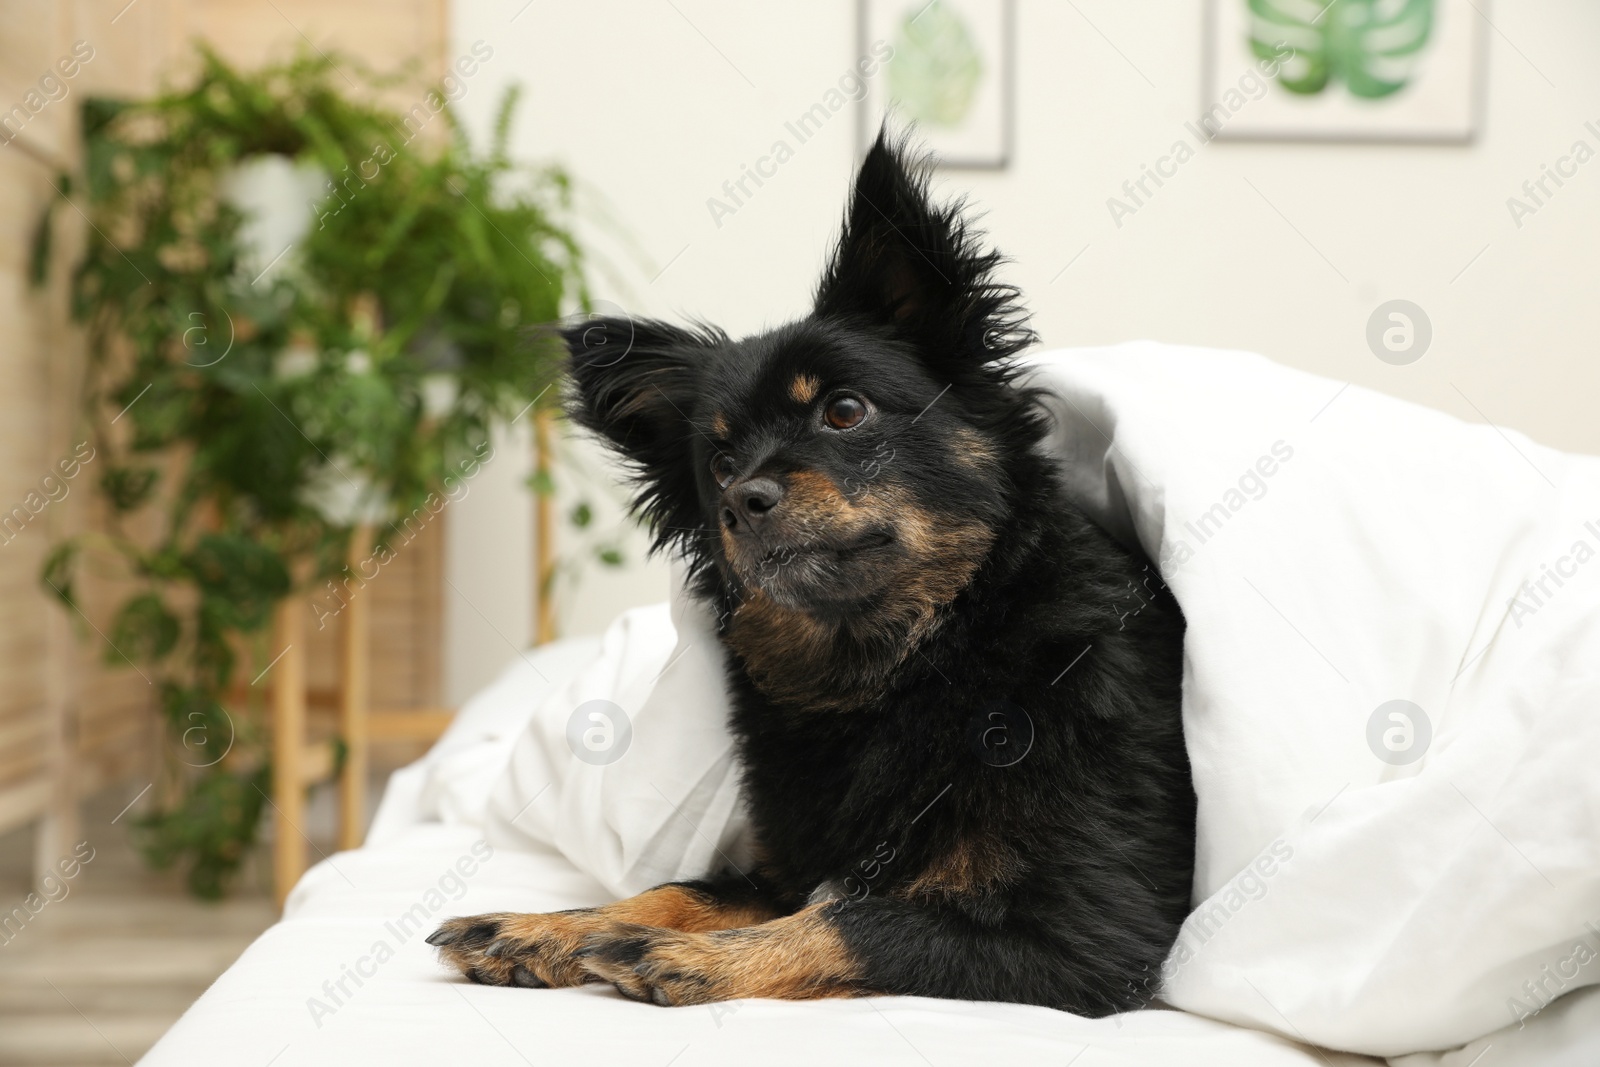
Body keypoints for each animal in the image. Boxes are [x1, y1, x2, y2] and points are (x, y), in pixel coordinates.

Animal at [432, 133, 1196, 1017]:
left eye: (845, 411)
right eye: (719, 464)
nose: (744, 500)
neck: (907, 666)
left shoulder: (1090, 931)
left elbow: (853, 921)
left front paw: (680, 957)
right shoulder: (787, 870)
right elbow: (680, 889)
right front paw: (547, 926)